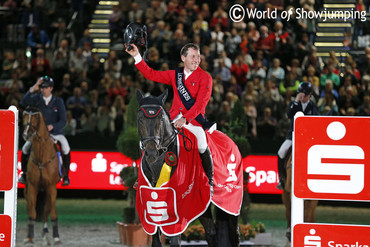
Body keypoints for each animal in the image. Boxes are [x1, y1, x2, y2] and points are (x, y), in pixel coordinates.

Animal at [22, 107, 61, 246]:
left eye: (36, 117)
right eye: (24, 116)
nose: (26, 135)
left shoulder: (51, 188)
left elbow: (52, 213)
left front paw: (56, 238)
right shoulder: (32, 187)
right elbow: (32, 213)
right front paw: (29, 238)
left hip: (47, 192)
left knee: (46, 210)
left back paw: (45, 235)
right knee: (30, 209)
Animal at [135, 90, 243, 247]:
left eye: (160, 119)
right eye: (140, 118)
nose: (151, 153)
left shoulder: (178, 206)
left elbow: (175, 241)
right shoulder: (151, 204)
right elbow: (156, 241)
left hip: (231, 203)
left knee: (234, 234)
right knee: (211, 233)